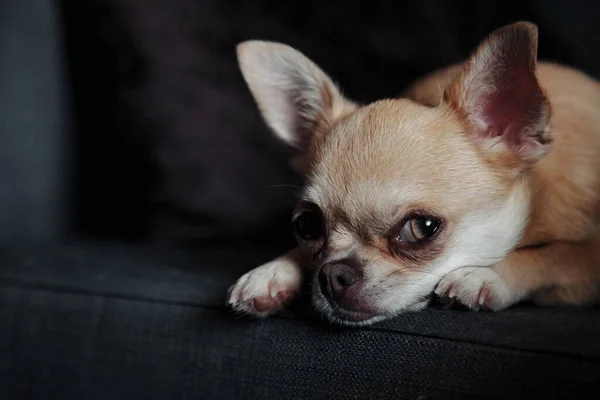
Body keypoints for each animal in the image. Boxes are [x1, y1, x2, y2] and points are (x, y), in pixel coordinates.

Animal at [227, 21, 600, 326]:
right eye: (306, 226)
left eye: (421, 228)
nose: (333, 274)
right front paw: (272, 271)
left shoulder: (586, 261)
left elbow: (557, 254)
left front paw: (485, 274)